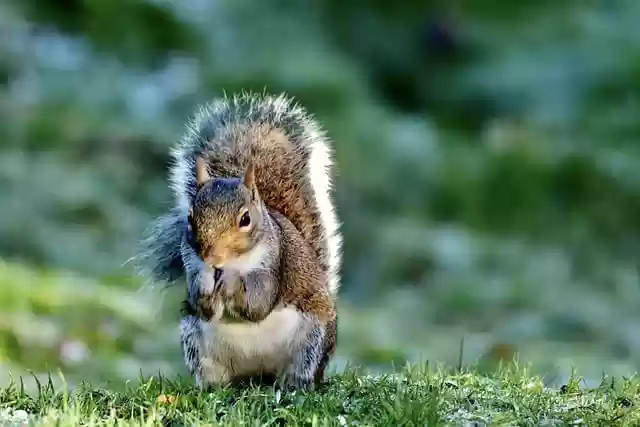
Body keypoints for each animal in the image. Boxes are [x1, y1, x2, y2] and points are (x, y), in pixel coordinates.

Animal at [136, 92, 342, 391]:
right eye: (190, 217)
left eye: (245, 219)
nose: (211, 257)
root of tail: (259, 374)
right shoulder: (192, 264)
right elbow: (204, 305)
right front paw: (205, 286)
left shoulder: (274, 265)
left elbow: (258, 302)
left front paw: (232, 282)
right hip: (196, 342)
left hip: (313, 340)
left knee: (302, 368)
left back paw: (293, 383)